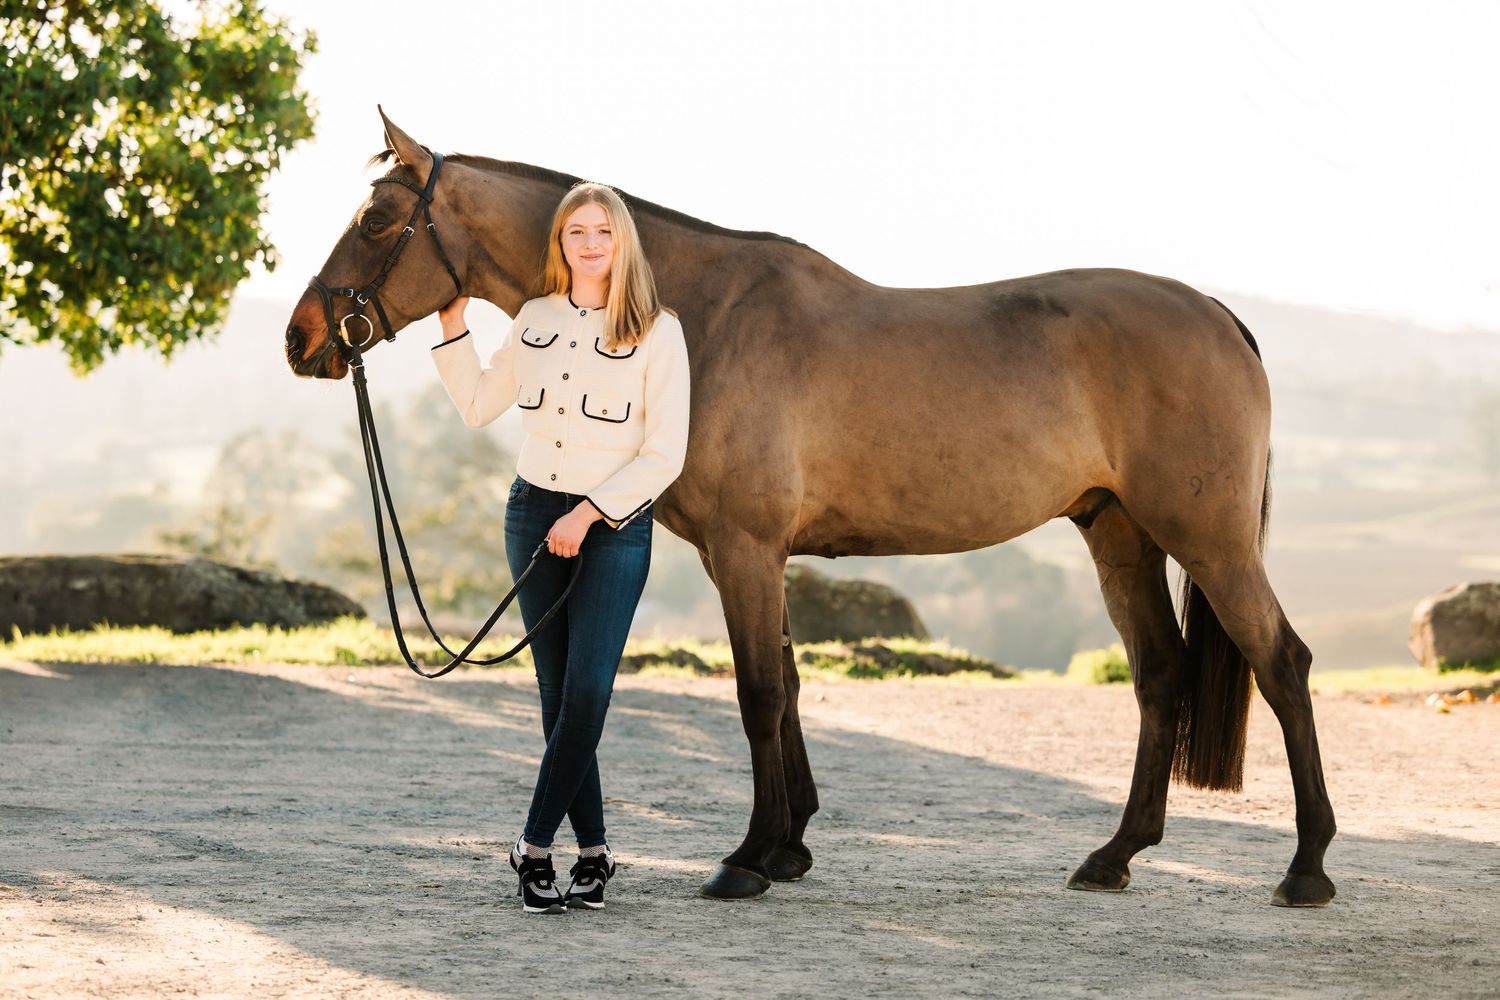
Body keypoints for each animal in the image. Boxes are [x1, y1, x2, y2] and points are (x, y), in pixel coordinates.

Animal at [283, 107, 1335, 907]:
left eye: (376, 219)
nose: (302, 338)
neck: (702, 316)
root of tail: (1217, 314)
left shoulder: (746, 550)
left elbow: (757, 695)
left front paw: (747, 861)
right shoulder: (750, 555)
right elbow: (786, 688)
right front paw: (789, 848)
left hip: (1209, 541)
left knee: (1282, 663)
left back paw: (1307, 868)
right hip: (1119, 532)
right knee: (1160, 676)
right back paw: (1113, 857)